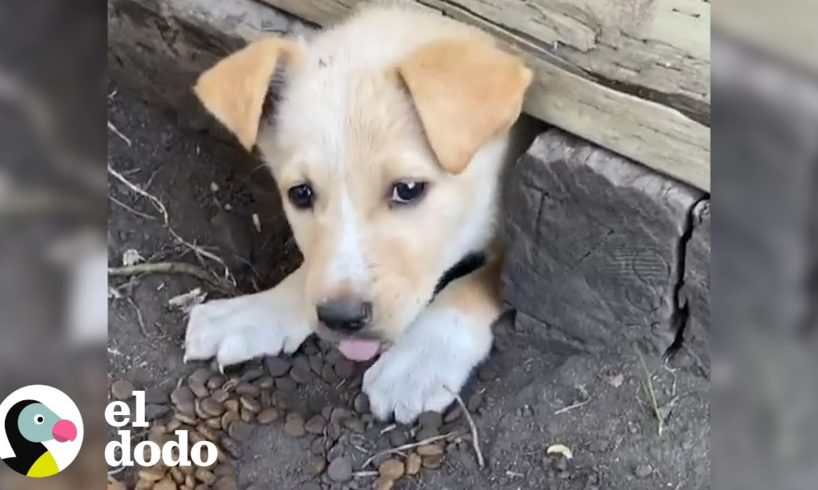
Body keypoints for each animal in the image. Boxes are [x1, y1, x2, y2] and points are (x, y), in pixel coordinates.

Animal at [182, 4, 532, 424]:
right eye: (301, 194)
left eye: (408, 189)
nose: (341, 319)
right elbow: (310, 275)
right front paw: (253, 312)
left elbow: (477, 285)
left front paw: (419, 362)